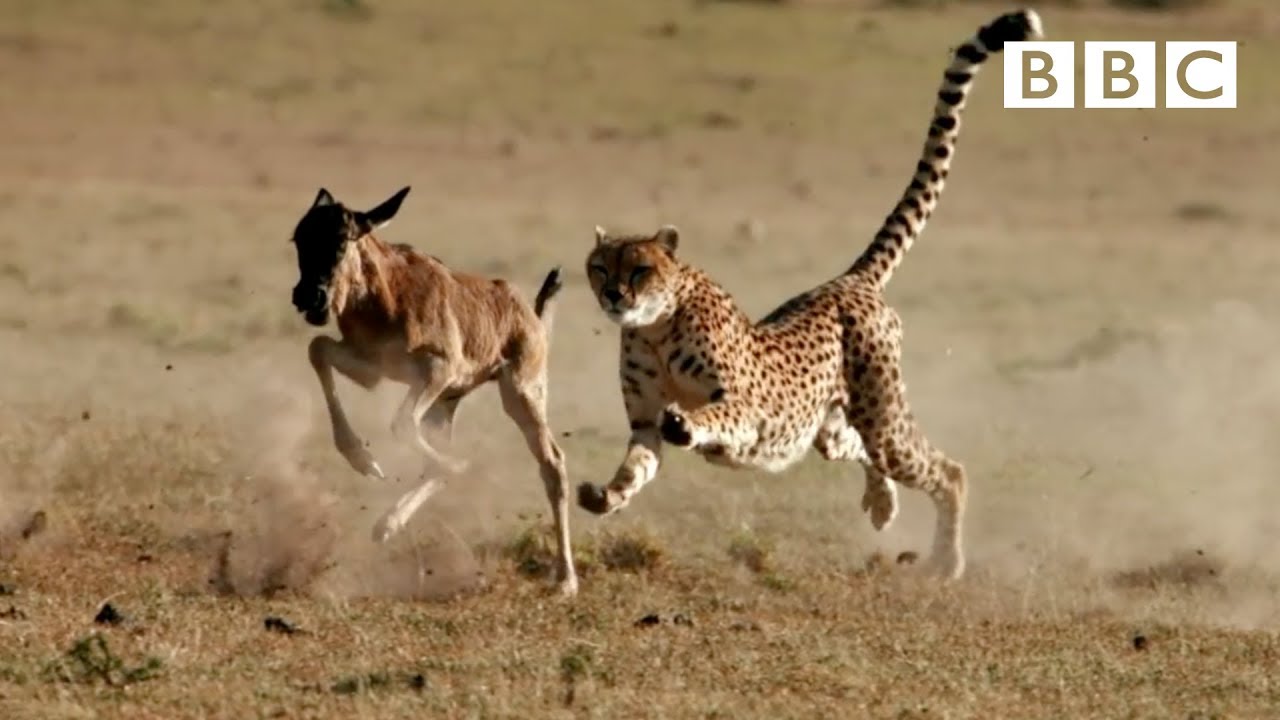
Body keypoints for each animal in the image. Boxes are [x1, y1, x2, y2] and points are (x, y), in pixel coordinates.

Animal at [288, 186, 577, 596]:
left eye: (343, 239)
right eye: (300, 237)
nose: (308, 297)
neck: (386, 295)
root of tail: (532, 315)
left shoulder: (437, 370)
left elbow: (402, 425)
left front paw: (453, 465)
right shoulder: (373, 370)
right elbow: (317, 350)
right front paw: (363, 459)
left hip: (520, 392)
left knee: (552, 463)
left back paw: (566, 580)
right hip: (447, 401)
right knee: (434, 458)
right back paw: (387, 524)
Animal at [576, 8, 1044, 580]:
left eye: (640, 269)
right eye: (600, 267)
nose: (614, 295)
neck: (655, 328)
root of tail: (846, 281)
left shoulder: (750, 410)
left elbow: (715, 416)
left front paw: (687, 425)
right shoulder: (644, 423)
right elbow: (637, 466)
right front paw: (605, 495)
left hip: (882, 419)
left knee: (946, 470)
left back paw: (945, 562)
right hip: (828, 429)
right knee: (860, 451)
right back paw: (883, 504)